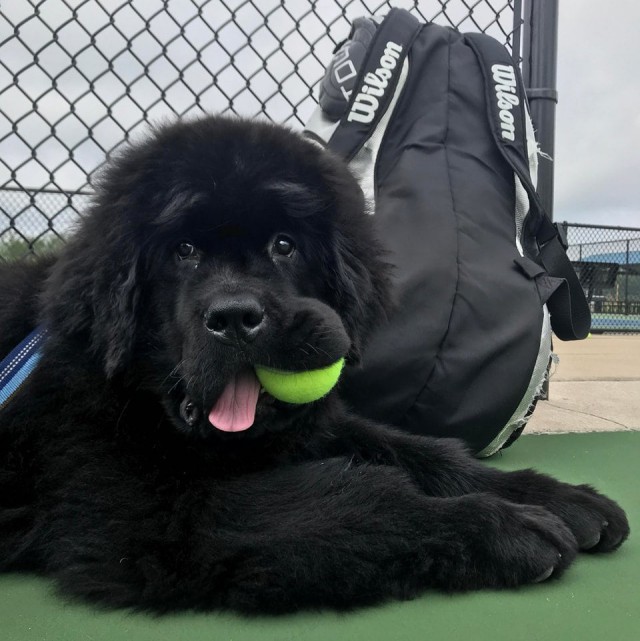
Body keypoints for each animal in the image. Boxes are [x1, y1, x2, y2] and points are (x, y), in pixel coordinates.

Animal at [0, 115, 632, 608]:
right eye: (183, 251)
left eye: (285, 245)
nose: (235, 317)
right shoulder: (156, 516)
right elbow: (347, 499)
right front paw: (503, 525)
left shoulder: (314, 429)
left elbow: (422, 451)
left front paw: (555, 498)